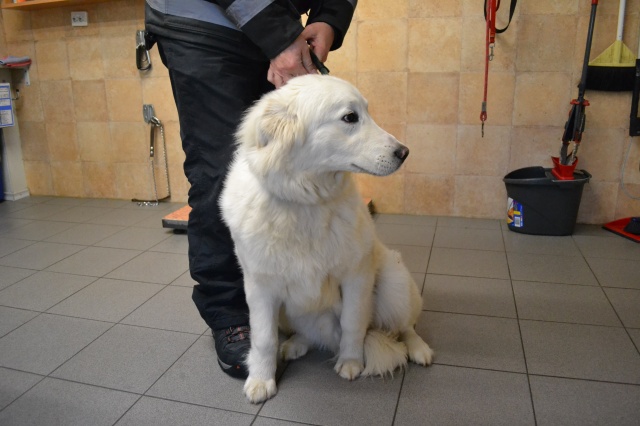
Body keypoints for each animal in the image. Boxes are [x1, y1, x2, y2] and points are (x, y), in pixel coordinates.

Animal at [220, 74, 433, 403]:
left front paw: (351, 362)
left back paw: (419, 349)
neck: (304, 202)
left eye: (367, 112)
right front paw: (261, 380)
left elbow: (352, 323)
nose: (404, 152)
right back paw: (295, 344)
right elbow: (264, 338)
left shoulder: (356, 277)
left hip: (394, 284)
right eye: (350, 117)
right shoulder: (259, 288)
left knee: (406, 327)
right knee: (306, 335)